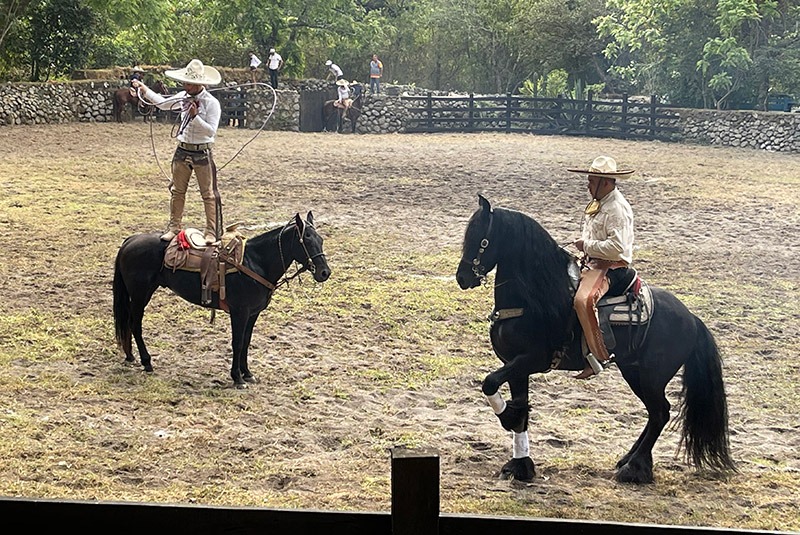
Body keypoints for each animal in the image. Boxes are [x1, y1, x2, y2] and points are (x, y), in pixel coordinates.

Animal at [113, 214, 332, 390]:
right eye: (306, 240)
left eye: (320, 239)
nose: (324, 273)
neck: (255, 262)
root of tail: (130, 240)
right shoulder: (240, 313)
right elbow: (237, 343)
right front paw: (237, 378)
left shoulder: (253, 314)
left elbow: (246, 342)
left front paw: (247, 373)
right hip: (141, 294)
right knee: (135, 324)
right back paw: (146, 361)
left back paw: (130, 356)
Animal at [454, 196, 736, 486]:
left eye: (482, 240)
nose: (462, 277)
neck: (533, 301)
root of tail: (691, 318)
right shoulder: (516, 366)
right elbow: (520, 410)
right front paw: (520, 465)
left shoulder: (532, 360)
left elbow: (490, 383)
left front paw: (508, 419)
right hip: (634, 372)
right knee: (655, 413)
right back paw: (629, 459)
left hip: (650, 377)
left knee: (661, 413)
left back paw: (634, 468)